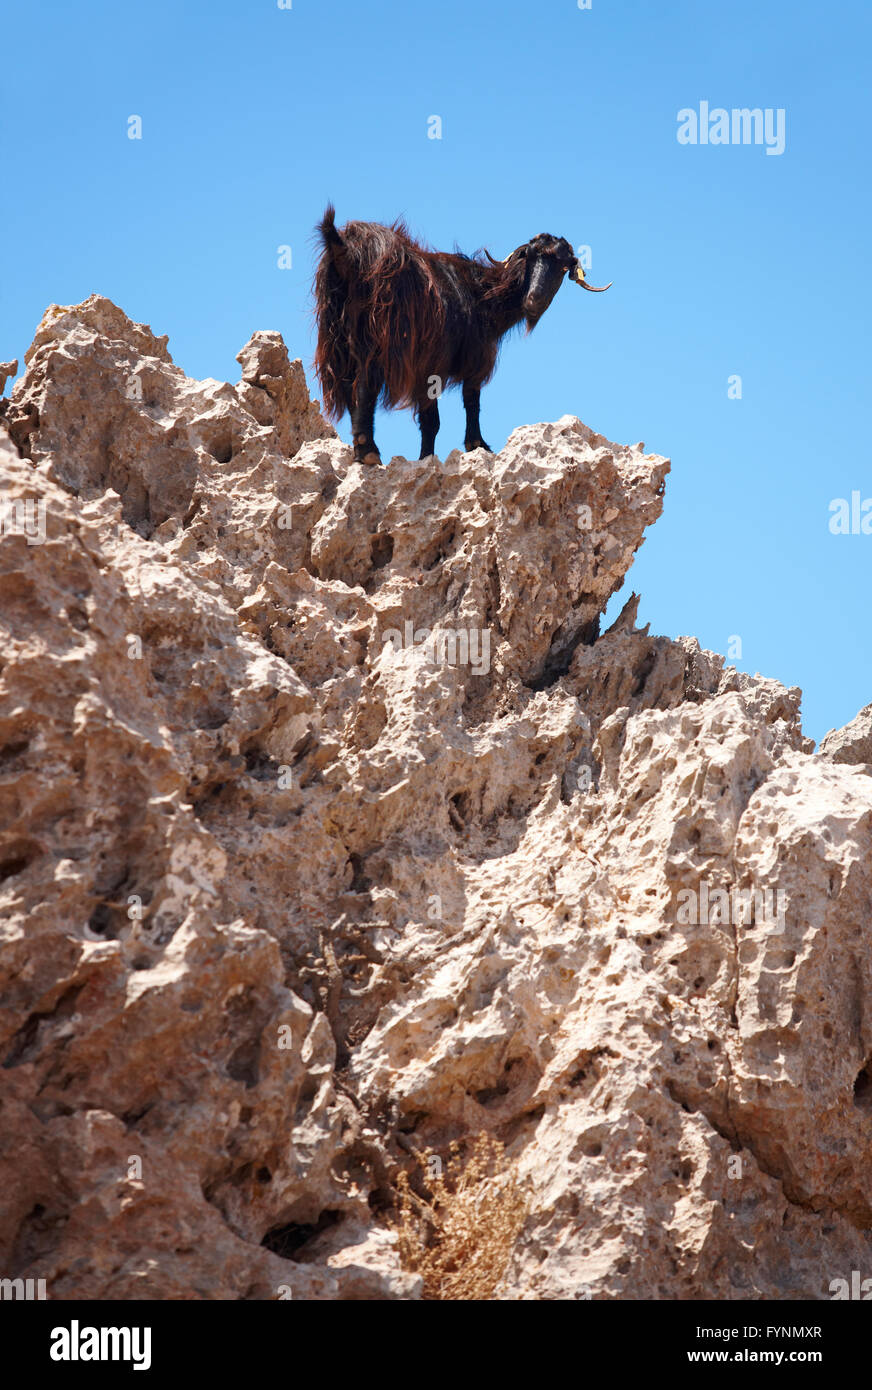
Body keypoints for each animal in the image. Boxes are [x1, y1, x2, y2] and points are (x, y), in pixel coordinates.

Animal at [313, 206, 610, 464]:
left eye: (563, 266)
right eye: (530, 257)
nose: (533, 300)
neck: (482, 294)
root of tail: (345, 249)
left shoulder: (427, 368)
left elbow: (430, 421)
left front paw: (426, 458)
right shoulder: (462, 361)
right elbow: (467, 403)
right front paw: (477, 445)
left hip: (336, 340)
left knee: (349, 387)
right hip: (375, 338)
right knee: (365, 385)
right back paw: (369, 452)